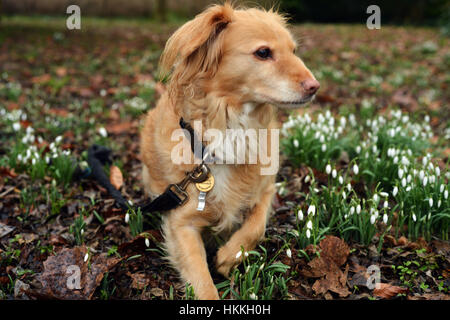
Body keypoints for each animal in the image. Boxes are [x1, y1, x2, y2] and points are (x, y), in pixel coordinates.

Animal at [141, 1, 320, 300]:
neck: (232, 130)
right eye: (263, 52)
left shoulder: (267, 190)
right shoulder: (181, 223)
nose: (314, 87)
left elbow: (256, 226)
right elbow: (202, 281)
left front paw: (228, 256)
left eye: (293, 51)